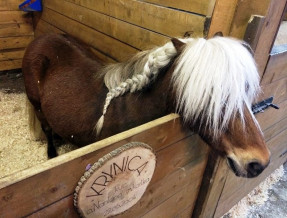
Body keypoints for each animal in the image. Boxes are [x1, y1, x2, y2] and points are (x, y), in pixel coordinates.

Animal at [22, 33, 270, 177]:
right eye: (212, 94)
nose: (259, 162)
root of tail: (42, 38)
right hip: (37, 104)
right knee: (46, 127)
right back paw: (52, 154)